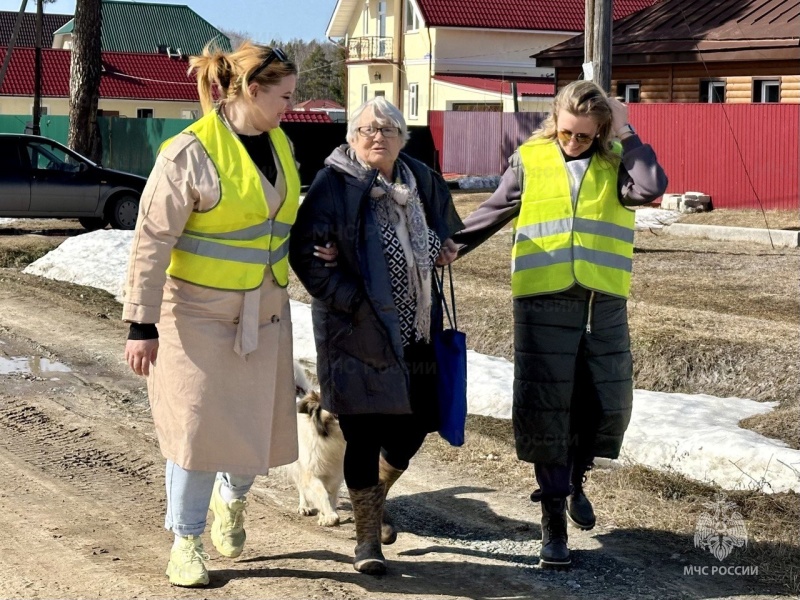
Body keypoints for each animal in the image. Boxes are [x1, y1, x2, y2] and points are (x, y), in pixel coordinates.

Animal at [290, 360, 346, 524]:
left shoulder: (335, 473)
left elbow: (331, 494)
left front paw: (326, 514)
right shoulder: (312, 471)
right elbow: (322, 493)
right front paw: (330, 515)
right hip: (298, 465)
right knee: (301, 485)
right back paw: (304, 506)